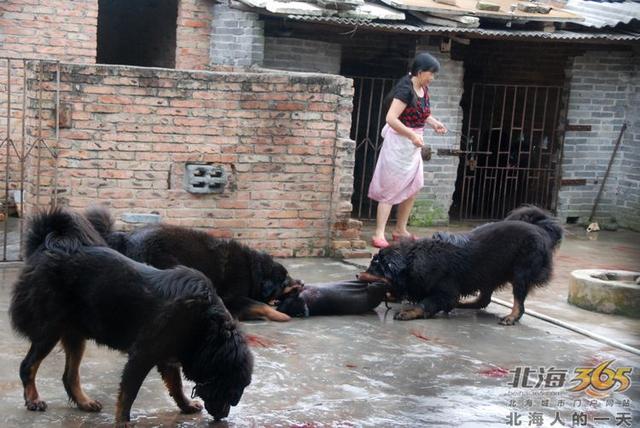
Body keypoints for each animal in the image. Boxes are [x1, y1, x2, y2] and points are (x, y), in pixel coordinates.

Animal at [8, 208, 252, 424]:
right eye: (230, 392)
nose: (223, 416)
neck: (207, 325)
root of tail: (48, 244)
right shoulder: (143, 354)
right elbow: (129, 392)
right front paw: (123, 421)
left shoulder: (168, 357)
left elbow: (176, 386)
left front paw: (185, 405)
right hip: (49, 330)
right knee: (27, 366)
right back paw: (33, 399)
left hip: (75, 333)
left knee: (69, 376)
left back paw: (84, 402)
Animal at [85, 206, 302, 320]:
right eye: (285, 281)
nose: (301, 283)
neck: (253, 271)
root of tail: (125, 237)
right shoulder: (232, 298)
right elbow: (259, 304)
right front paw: (281, 315)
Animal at [362, 206, 564, 324]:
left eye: (374, 267)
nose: (357, 275)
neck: (414, 260)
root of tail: (542, 230)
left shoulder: (444, 290)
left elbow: (425, 303)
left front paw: (409, 311)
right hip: (488, 272)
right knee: (483, 299)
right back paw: (464, 304)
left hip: (520, 273)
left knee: (518, 301)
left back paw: (511, 317)